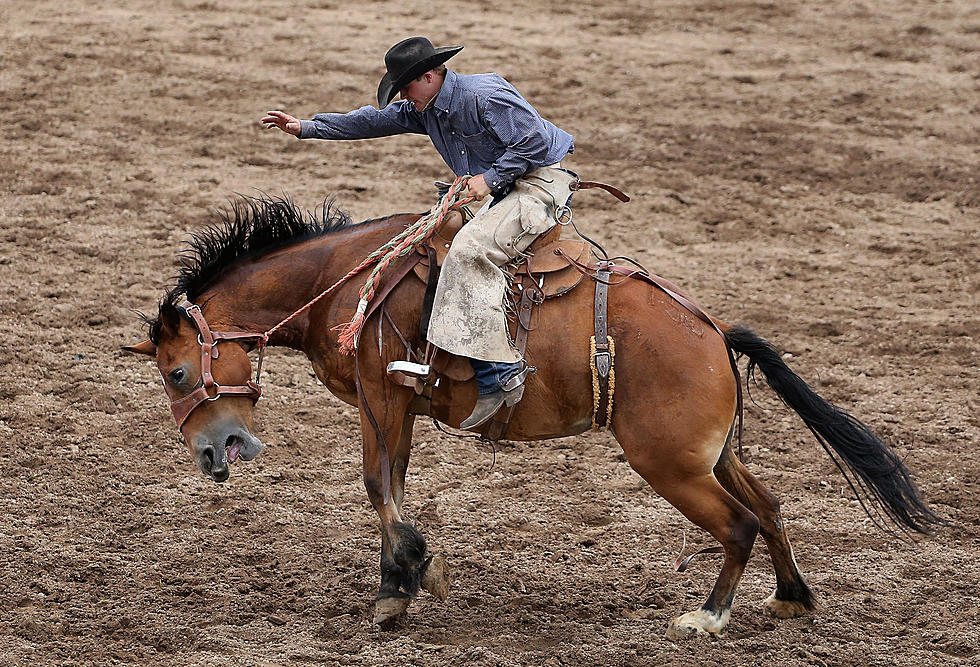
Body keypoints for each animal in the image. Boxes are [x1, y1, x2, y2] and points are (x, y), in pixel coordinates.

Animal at [126, 196, 936, 640]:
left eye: (175, 372)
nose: (213, 454)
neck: (346, 281)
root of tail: (714, 332)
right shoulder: (400, 405)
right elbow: (394, 484)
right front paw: (412, 574)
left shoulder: (380, 398)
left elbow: (378, 485)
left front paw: (401, 584)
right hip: (713, 453)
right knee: (768, 508)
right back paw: (793, 598)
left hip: (669, 463)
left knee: (738, 524)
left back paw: (707, 617)